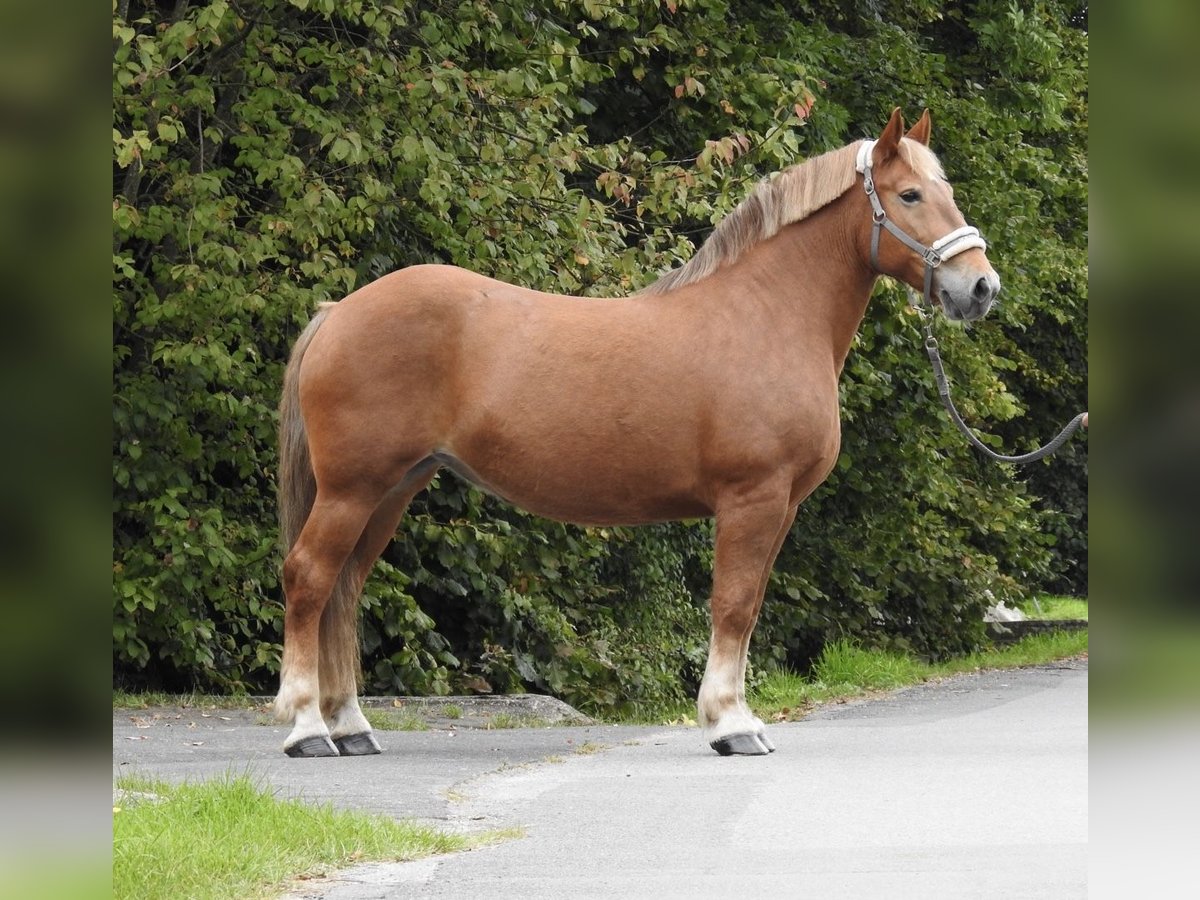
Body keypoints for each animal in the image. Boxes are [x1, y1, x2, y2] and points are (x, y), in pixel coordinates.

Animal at [276, 109, 998, 758]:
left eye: (946, 191)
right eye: (909, 195)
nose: (981, 287)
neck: (767, 314)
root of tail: (338, 311)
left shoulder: (783, 506)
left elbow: (750, 607)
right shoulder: (753, 499)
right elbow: (733, 605)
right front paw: (730, 725)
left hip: (395, 486)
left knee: (345, 586)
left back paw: (352, 727)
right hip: (353, 488)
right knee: (310, 577)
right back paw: (308, 729)